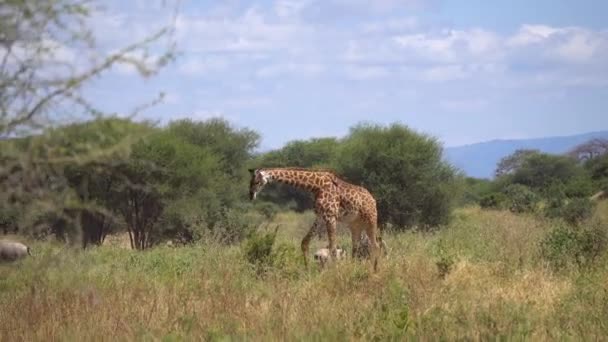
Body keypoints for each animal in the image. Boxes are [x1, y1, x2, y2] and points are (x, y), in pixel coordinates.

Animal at [247, 167, 380, 272]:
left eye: (257, 182)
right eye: (250, 181)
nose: (251, 195)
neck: (315, 186)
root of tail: (372, 199)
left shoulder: (331, 216)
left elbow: (333, 248)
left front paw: (335, 273)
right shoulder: (320, 216)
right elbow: (305, 242)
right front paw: (308, 270)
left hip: (371, 220)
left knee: (375, 245)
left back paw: (374, 270)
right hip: (355, 225)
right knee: (356, 247)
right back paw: (354, 268)